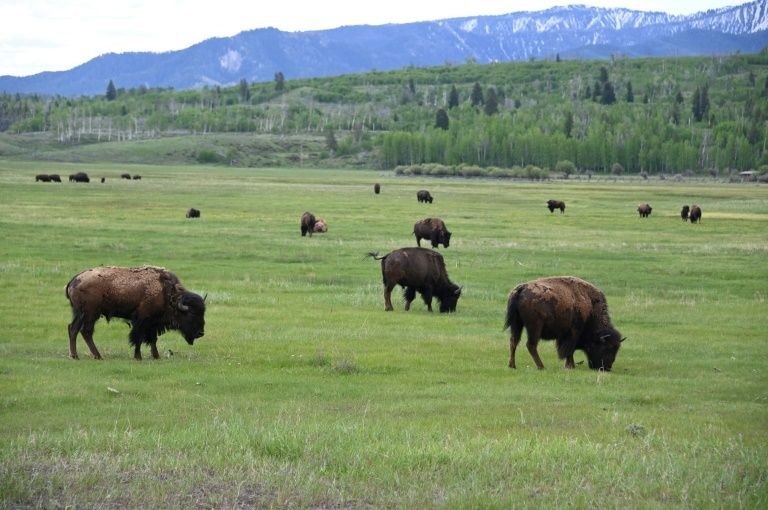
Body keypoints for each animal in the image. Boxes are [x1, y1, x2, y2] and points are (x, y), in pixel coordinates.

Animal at [65, 266, 206, 360]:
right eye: (191, 314)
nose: (201, 333)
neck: (166, 293)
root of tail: (75, 279)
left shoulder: (153, 323)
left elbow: (153, 339)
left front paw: (156, 356)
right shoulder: (142, 320)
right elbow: (138, 338)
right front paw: (138, 357)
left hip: (79, 314)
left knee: (73, 329)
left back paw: (75, 355)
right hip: (90, 314)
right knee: (86, 332)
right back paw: (97, 356)